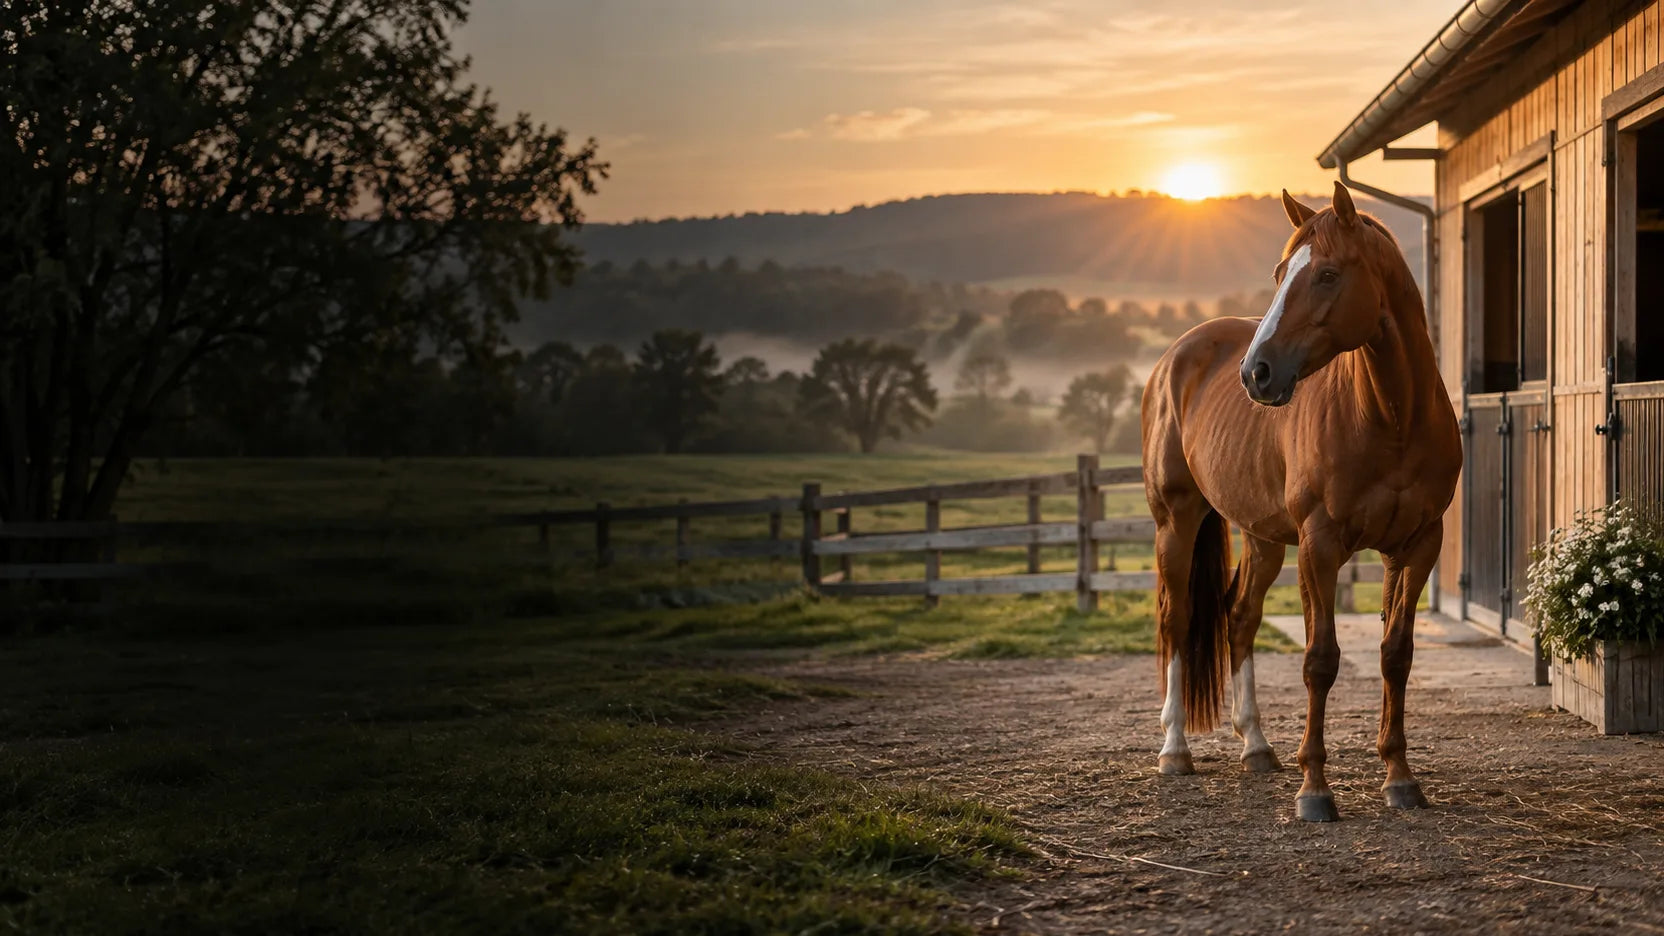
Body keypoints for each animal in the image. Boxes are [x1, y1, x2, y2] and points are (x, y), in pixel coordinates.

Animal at [1139, 181, 1462, 822]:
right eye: (1280, 272)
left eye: (1329, 274)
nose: (1257, 373)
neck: (1391, 417)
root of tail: (1175, 359)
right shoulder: (1321, 544)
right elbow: (1320, 660)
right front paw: (1315, 790)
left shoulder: (1416, 545)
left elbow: (1396, 654)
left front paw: (1400, 779)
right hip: (1176, 522)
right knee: (1177, 619)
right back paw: (1174, 750)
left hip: (1262, 537)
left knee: (1239, 618)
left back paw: (1257, 747)